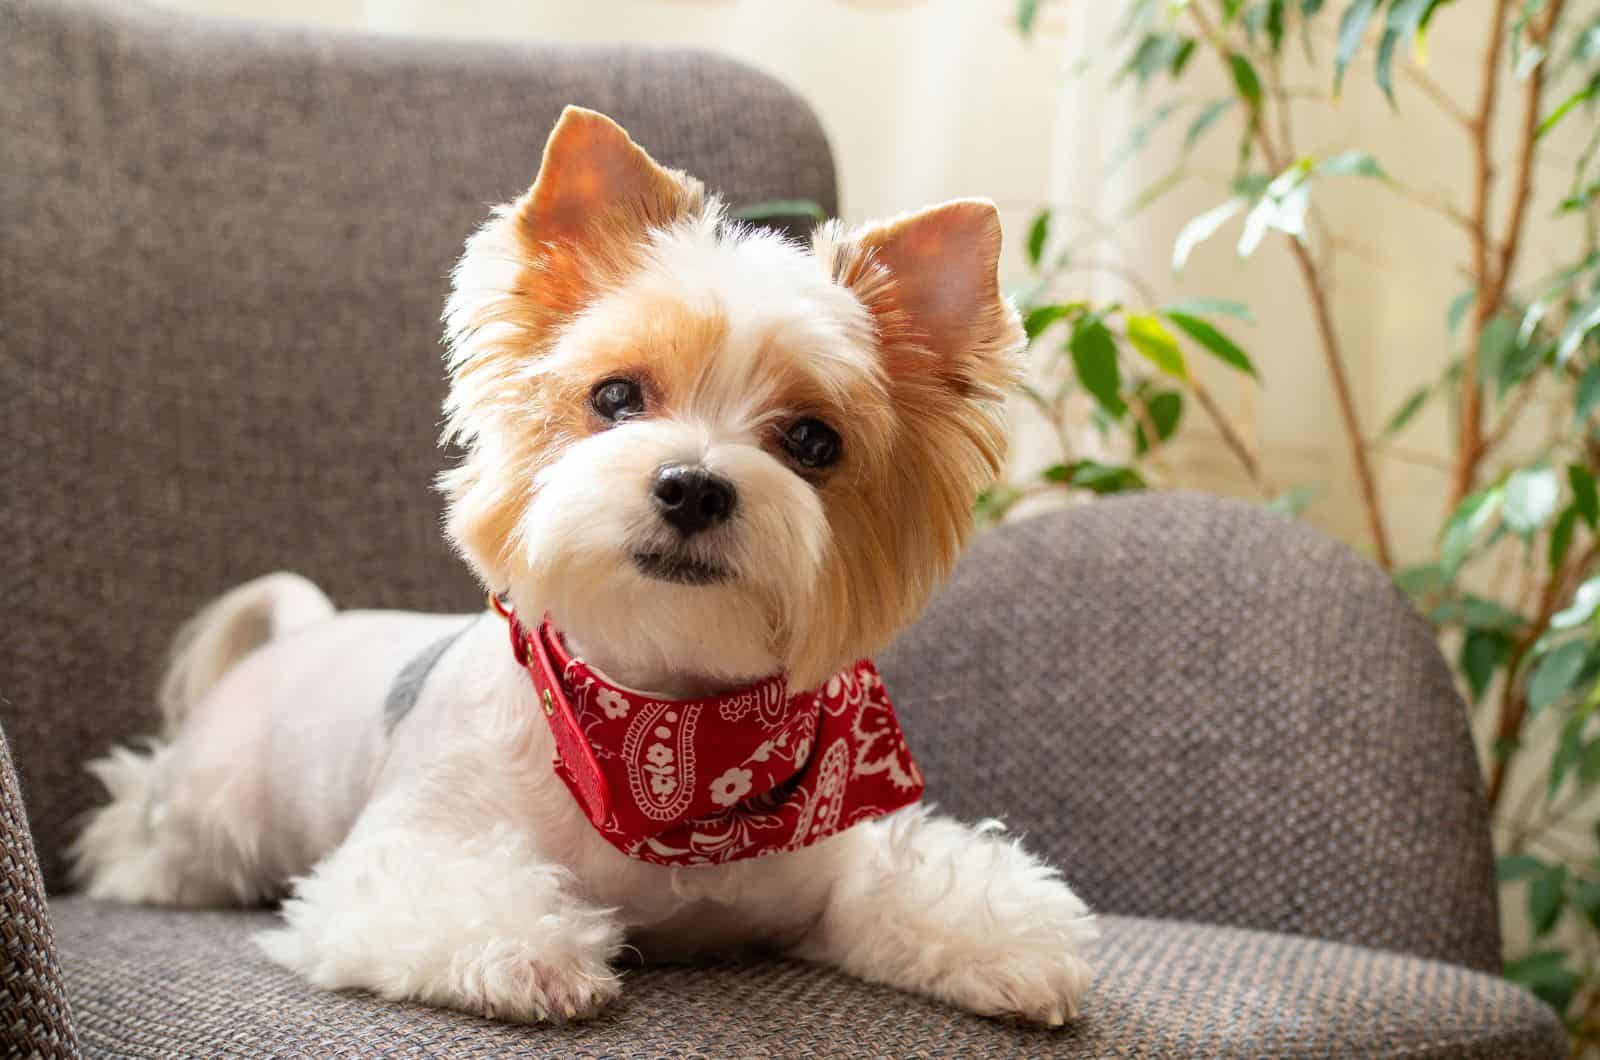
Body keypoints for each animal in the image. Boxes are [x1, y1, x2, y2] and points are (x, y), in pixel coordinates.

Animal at [75, 108, 1100, 1031]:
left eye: (814, 440)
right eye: (615, 396)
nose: (693, 486)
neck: (672, 717)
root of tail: (310, 625)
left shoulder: (826, 867)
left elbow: (912, 885)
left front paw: (1008, 947)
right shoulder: (396, 858)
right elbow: (450, 897)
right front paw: (535, 955)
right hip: (209, 809)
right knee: (145, 827)